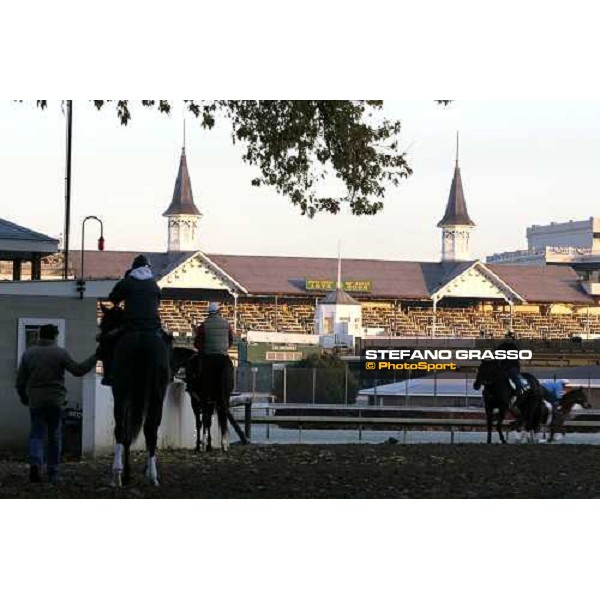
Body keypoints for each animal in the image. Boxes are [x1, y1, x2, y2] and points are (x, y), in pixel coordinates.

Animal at [97, 304, 170, 488]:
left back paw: (117, 474)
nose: (100, 351)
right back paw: (152, 475)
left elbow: (126, 434)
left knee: (121, 429)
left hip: (122, 394)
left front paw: (126, 473)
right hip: (156, 396)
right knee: (151, 431)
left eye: (104, 324)